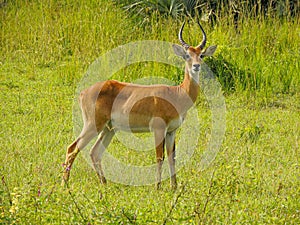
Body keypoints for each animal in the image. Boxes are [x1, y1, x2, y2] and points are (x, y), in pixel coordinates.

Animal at [62, 22, 217, 189]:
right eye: (187, 55)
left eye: (201, 55)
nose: (196, 66)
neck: (177, 94)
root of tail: (83, 92)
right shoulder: (158, 129)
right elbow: (159, 157)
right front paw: (158, 187)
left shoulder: (171, 131)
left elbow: (172, 157)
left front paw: (174, 187)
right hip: (93, 125)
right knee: (72, 148)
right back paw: (65, 185)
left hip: (108, 129)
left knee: (94, 152)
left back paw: (104, 184)